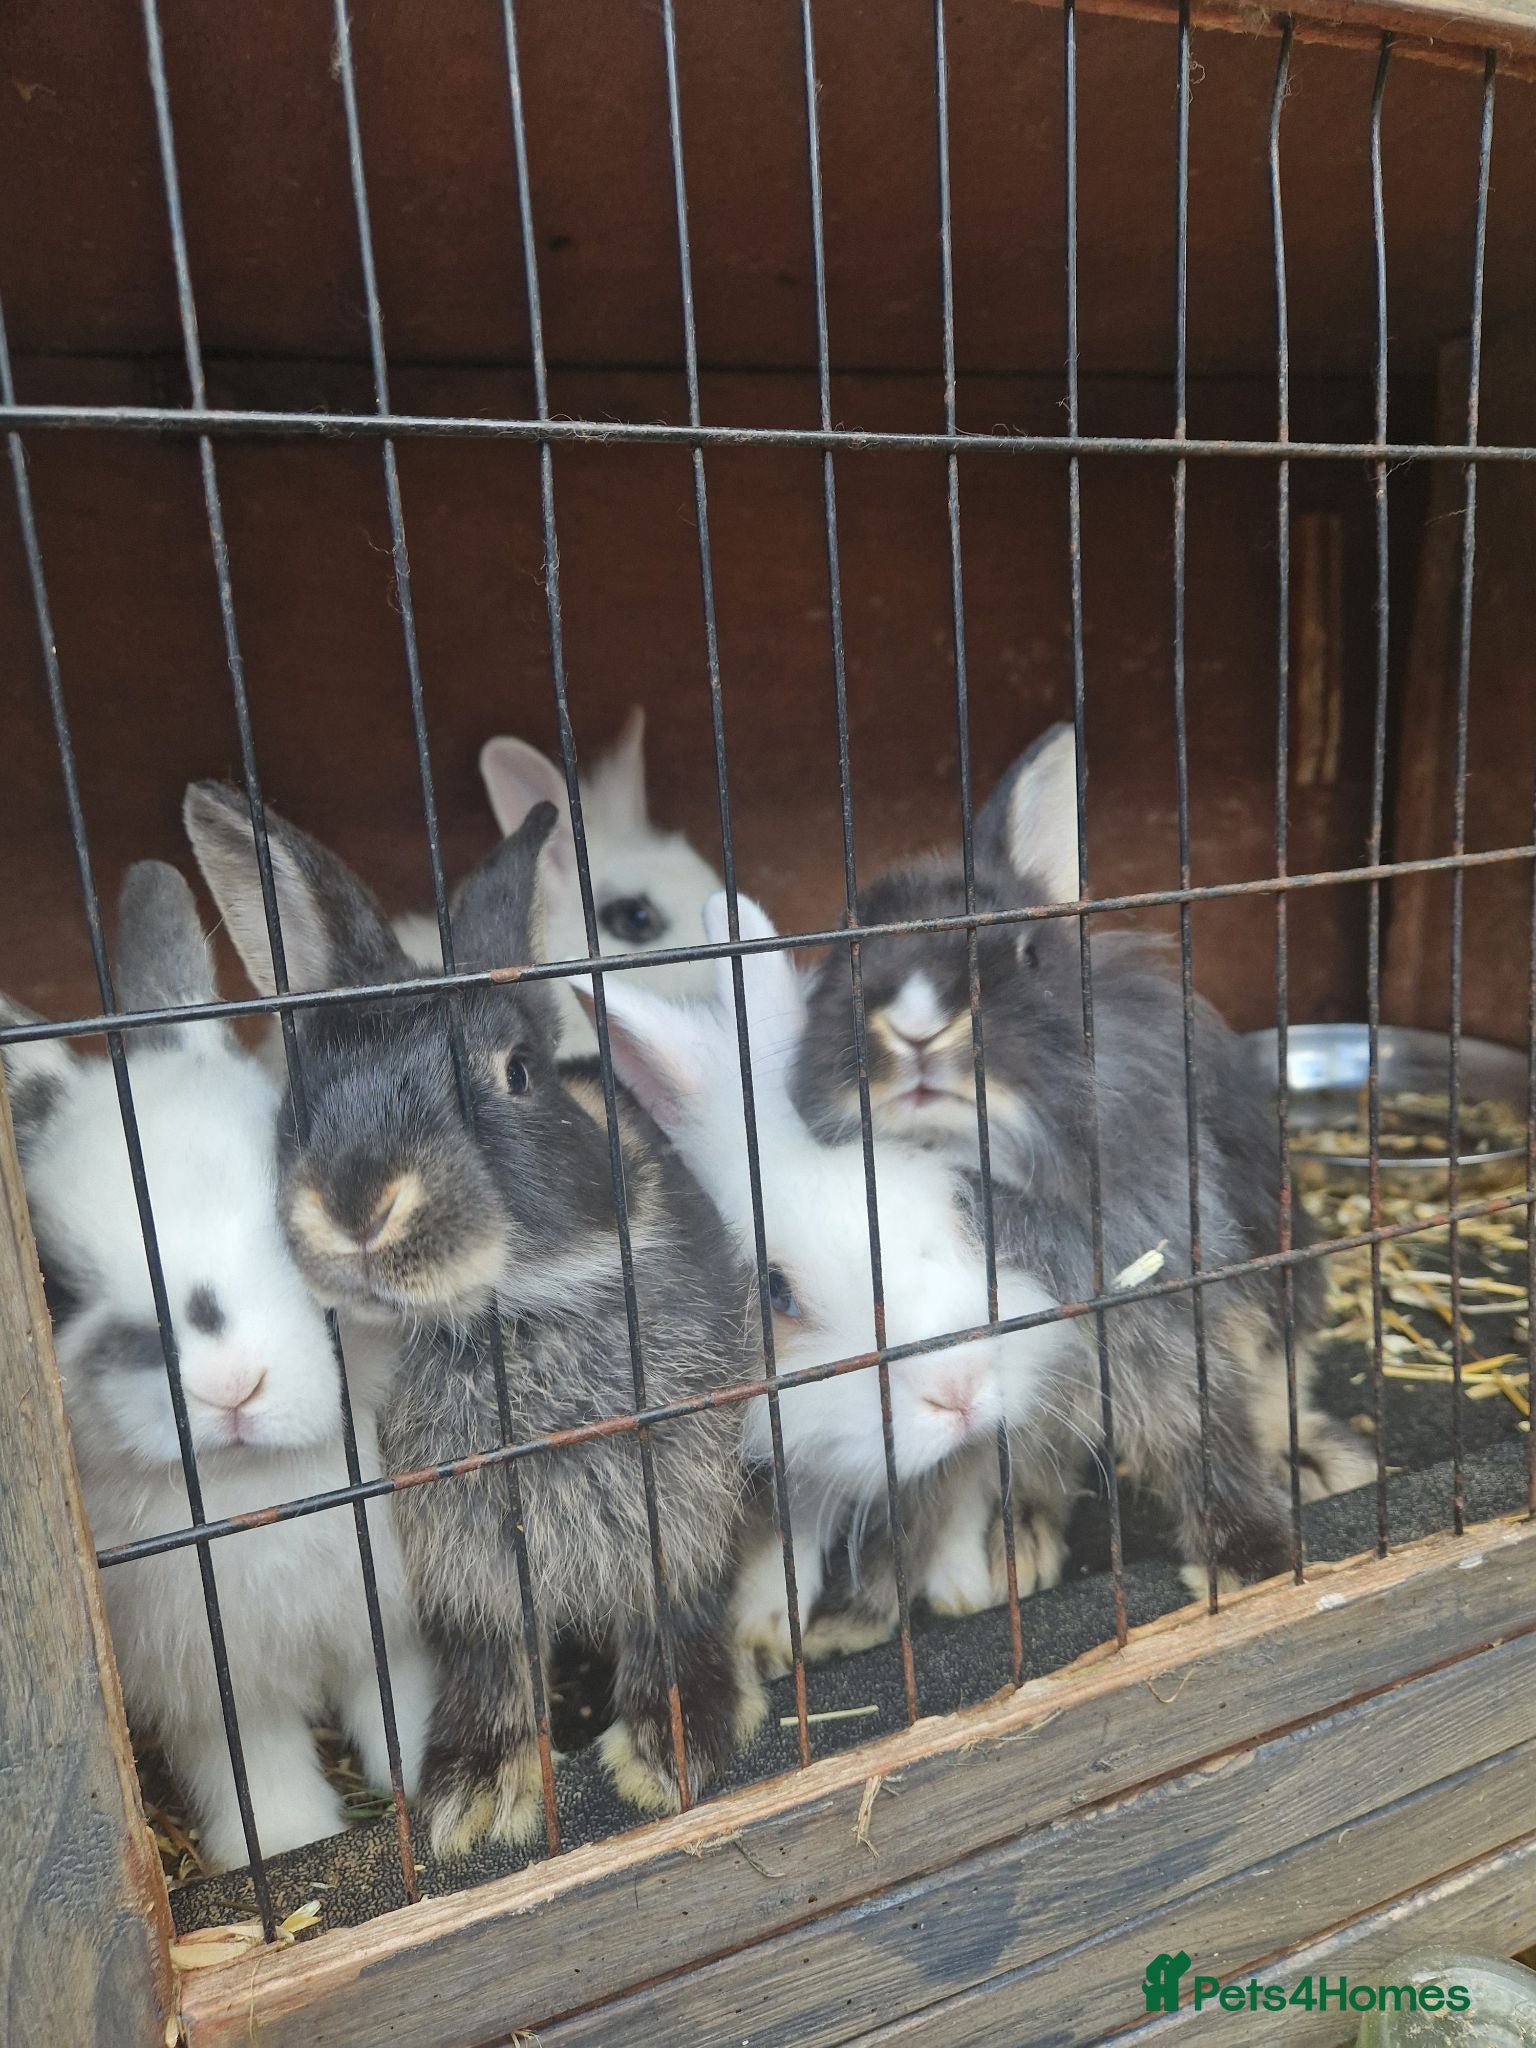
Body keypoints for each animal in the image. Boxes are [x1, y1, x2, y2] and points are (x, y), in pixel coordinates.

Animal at [0, 862, 435, 1873]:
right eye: (58, 1287)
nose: (230, 1388)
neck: (256, 1494)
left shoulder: (389, 1614)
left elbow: (395, 1696)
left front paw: (429, 1776)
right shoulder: (210, 1682)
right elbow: (255, 1765)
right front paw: (285, 1841)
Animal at [184, 782, 764, 1858]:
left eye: (518, 1072)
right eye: (306, 1093)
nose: (359, 1203)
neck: (504, 1320)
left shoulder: (680, 1496)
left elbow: (671, 1617)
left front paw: (671, 1756)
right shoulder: (468, 1565)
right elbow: (493, 1663)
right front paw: (470, 1795)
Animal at [583, 892, 1089, 1677]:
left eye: (959, 1205)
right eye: (774, 1291)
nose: (960, 1389)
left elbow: (961, 1506)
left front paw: (965, 1593)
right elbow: (779, 1550)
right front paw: (761, 1638)